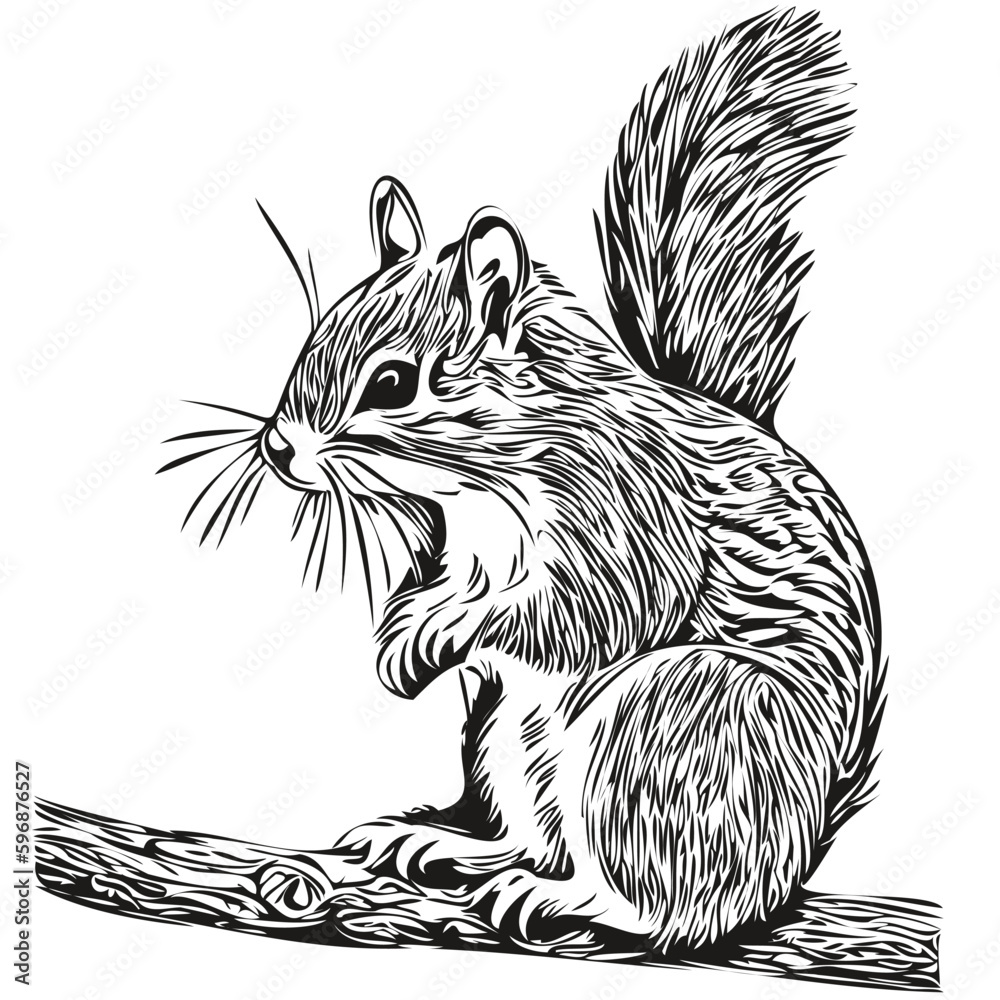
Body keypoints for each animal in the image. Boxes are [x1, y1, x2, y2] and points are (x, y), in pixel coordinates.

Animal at [173, 9, 883, 953]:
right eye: (316, 334)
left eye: (393, 382)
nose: (279, 449)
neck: (485, 483)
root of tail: (791, 856)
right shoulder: (459, 548)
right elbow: (439, 590)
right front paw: (403, 640)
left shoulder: (628, 515)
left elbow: (582, 611)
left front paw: (449, 632)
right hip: (509, 734)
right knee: (538, 837)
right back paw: (443, 844)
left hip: (676, 730)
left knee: (671, 904)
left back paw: (571, 899)